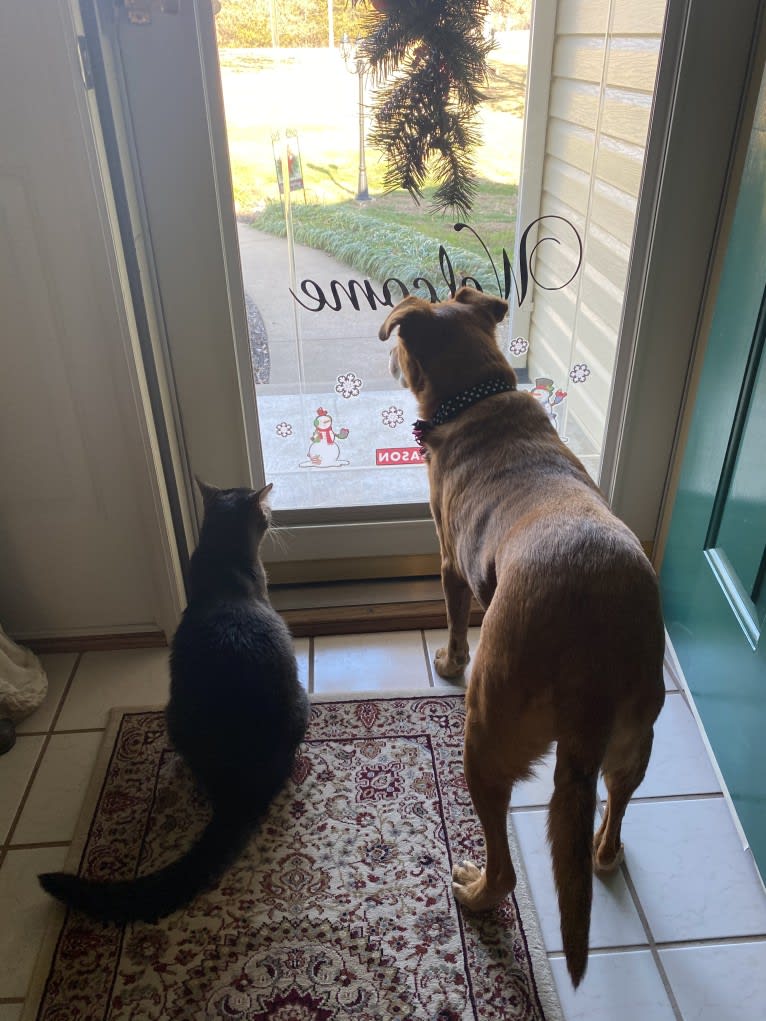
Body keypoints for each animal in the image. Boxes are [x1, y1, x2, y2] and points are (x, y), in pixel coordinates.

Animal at [381, 285, 669, 980]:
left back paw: (477, 891)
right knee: (616, 807)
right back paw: (606, 851)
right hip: (637, 734)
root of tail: (595, 649)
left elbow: (455, 616)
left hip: (486, 736)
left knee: (506, 864)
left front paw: (448, 660)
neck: (476, 394)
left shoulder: (448, 559)